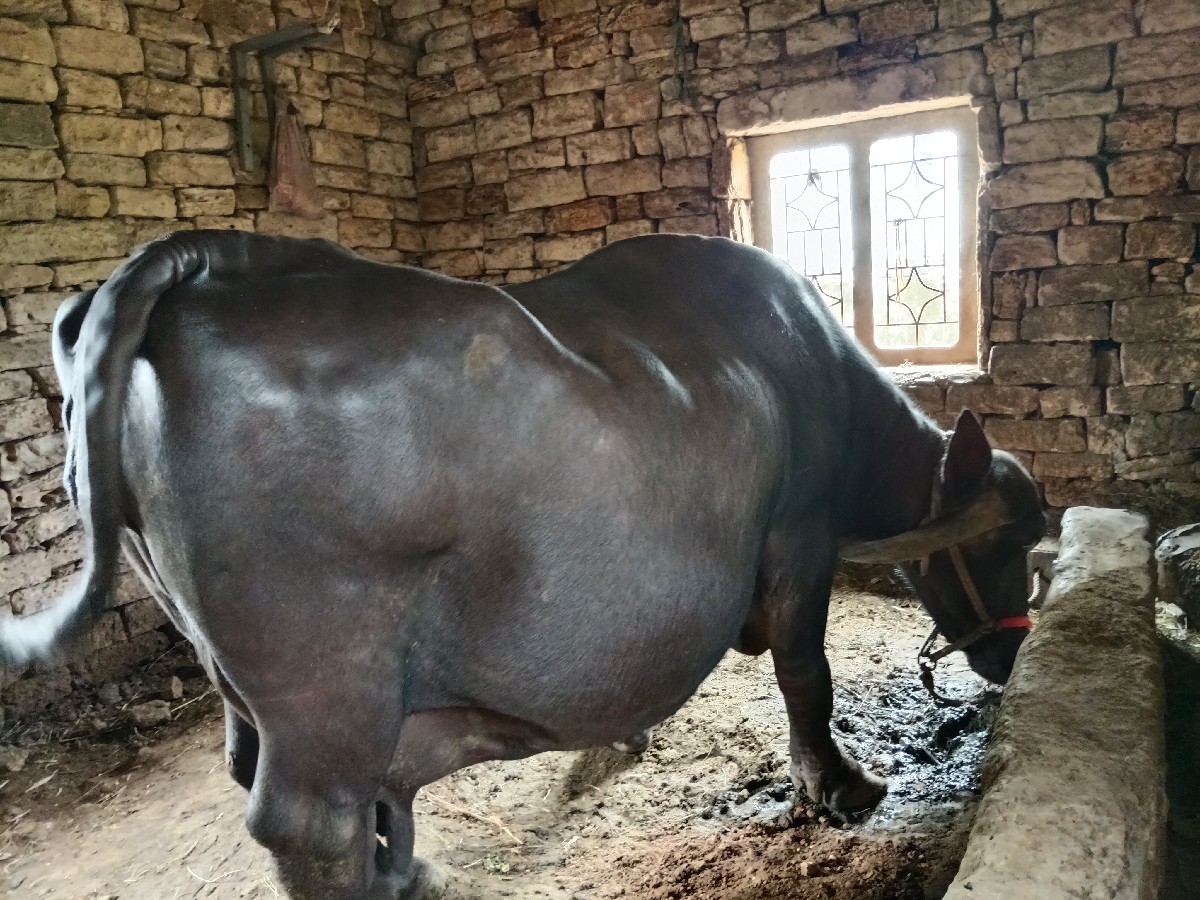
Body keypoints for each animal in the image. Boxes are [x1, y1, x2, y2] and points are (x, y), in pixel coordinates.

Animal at [1, 231, 1044, 900]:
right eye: (1011, 539)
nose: (1010, 654)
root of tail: (202, 260)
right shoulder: (798, 539)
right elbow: (806, 674)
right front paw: (840, 785)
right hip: (328, 685)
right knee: (307, 825)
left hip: (229, 667)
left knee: (251, 761)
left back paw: (408, 870)